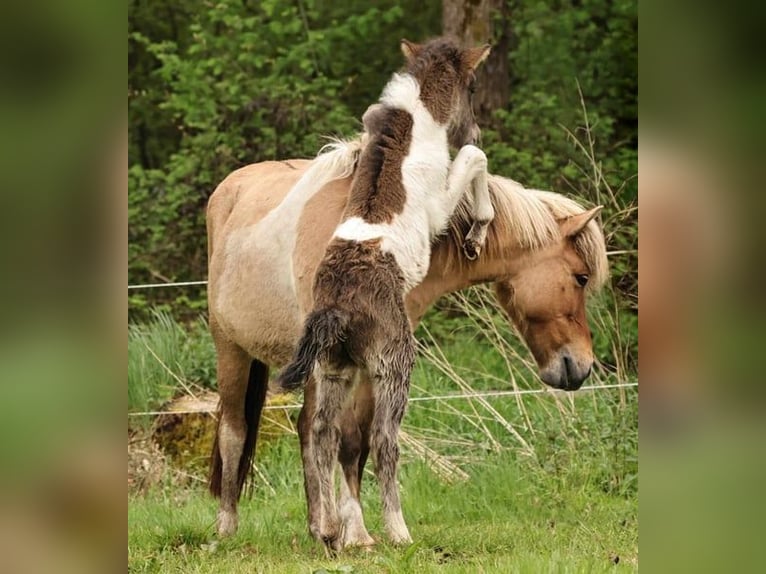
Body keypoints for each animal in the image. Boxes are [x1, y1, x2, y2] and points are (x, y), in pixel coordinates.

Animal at [206, 142, 608, 548]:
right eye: (581, 277)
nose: (581, 365)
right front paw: (359, 532)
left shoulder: (375, 362)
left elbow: (355, 442)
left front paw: (354, 530)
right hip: (232, 350)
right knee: (234, 431)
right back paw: (227, 526)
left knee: (309, 431)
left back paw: (318, 525)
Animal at [273, 37, 493, 550]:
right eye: (472, 85)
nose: (475, 123)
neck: (415, 119)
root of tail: (335, 310)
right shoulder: (438, 207)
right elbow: (475, 158)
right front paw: (478, 231)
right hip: (394, 366)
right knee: (382, 440)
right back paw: (397, 530)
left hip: (333, 370)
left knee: (322, 434)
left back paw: (330, 531)